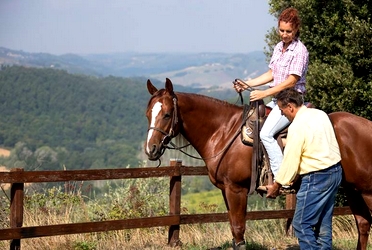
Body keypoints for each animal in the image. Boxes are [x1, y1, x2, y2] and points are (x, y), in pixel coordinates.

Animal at [144, 78, 370, 250]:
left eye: (166, 114)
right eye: (148, 114)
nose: (150, 149)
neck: (224, 131)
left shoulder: (236, 190)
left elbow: (238, 230)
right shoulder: (226, 190)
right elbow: (234, 229)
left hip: (366, 190)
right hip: (351, 189)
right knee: (363, 224)